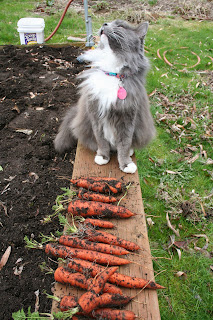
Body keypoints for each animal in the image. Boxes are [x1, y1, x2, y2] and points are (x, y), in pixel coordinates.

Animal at [54, 19, 156, 172]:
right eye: (110, 22)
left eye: (120, 26)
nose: (105, 24)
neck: (112, 73)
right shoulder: (95, 114)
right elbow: (101, 141)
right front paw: (102, 157)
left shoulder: (128, 118)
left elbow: (124, 144)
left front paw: (126, 164)